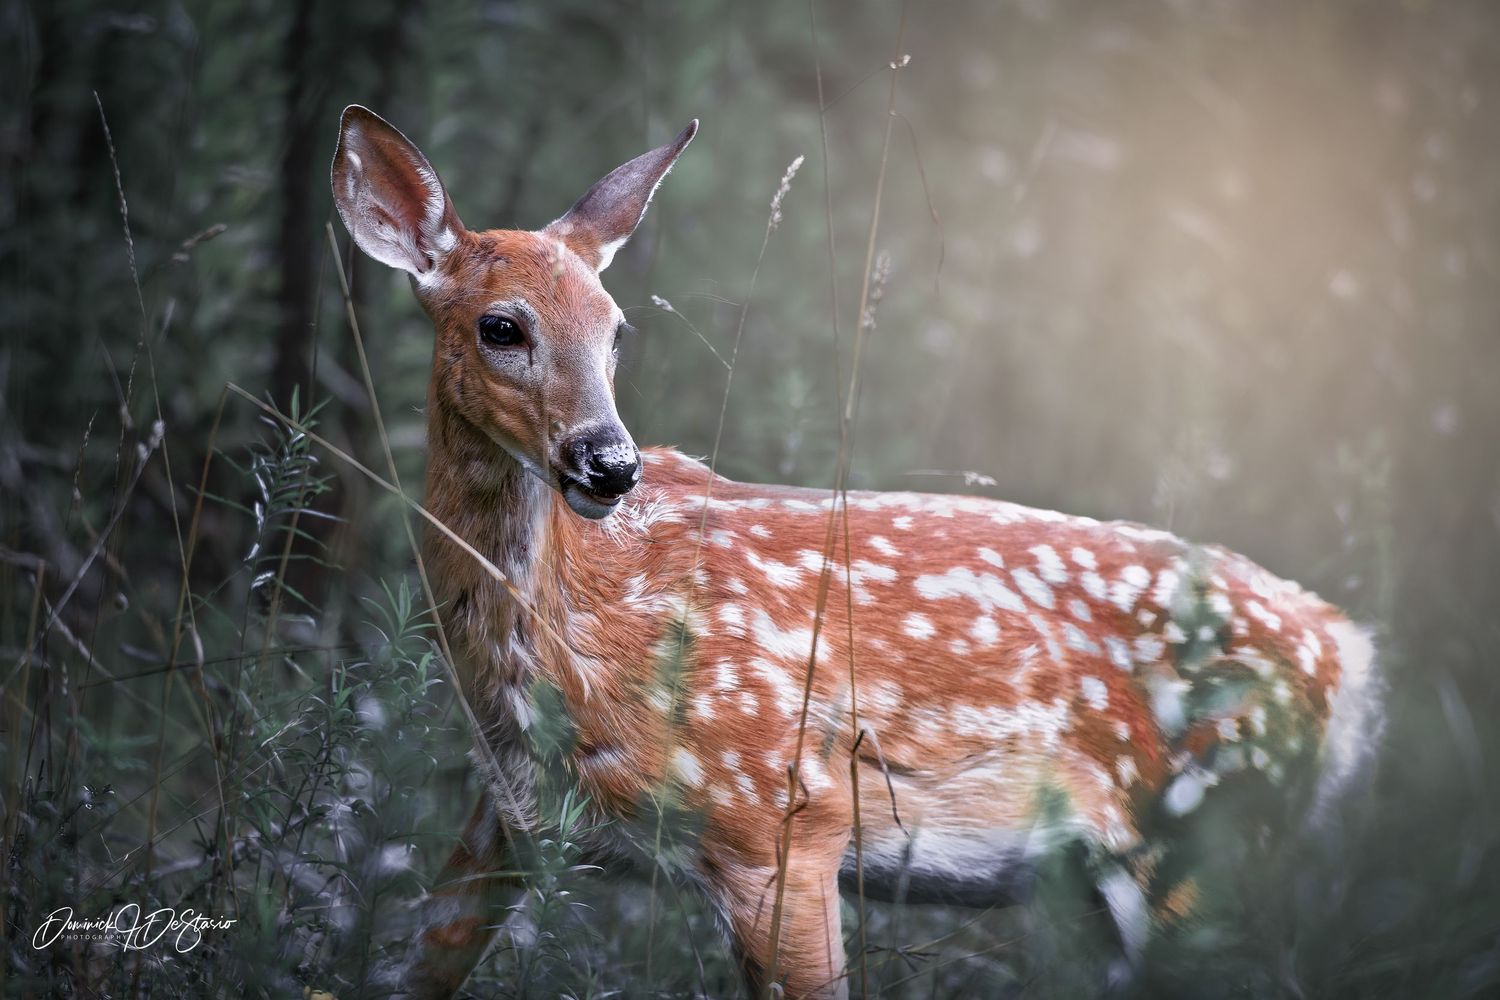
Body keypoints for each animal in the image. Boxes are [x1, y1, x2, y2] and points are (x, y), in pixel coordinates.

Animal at [328, 105, 1382, 999]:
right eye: (500, 326)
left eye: (617, 330)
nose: (610, 462)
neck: (564, 652)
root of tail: (1347, 653)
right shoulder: (506, 819)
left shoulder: (780, 817)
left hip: (1202, 837)